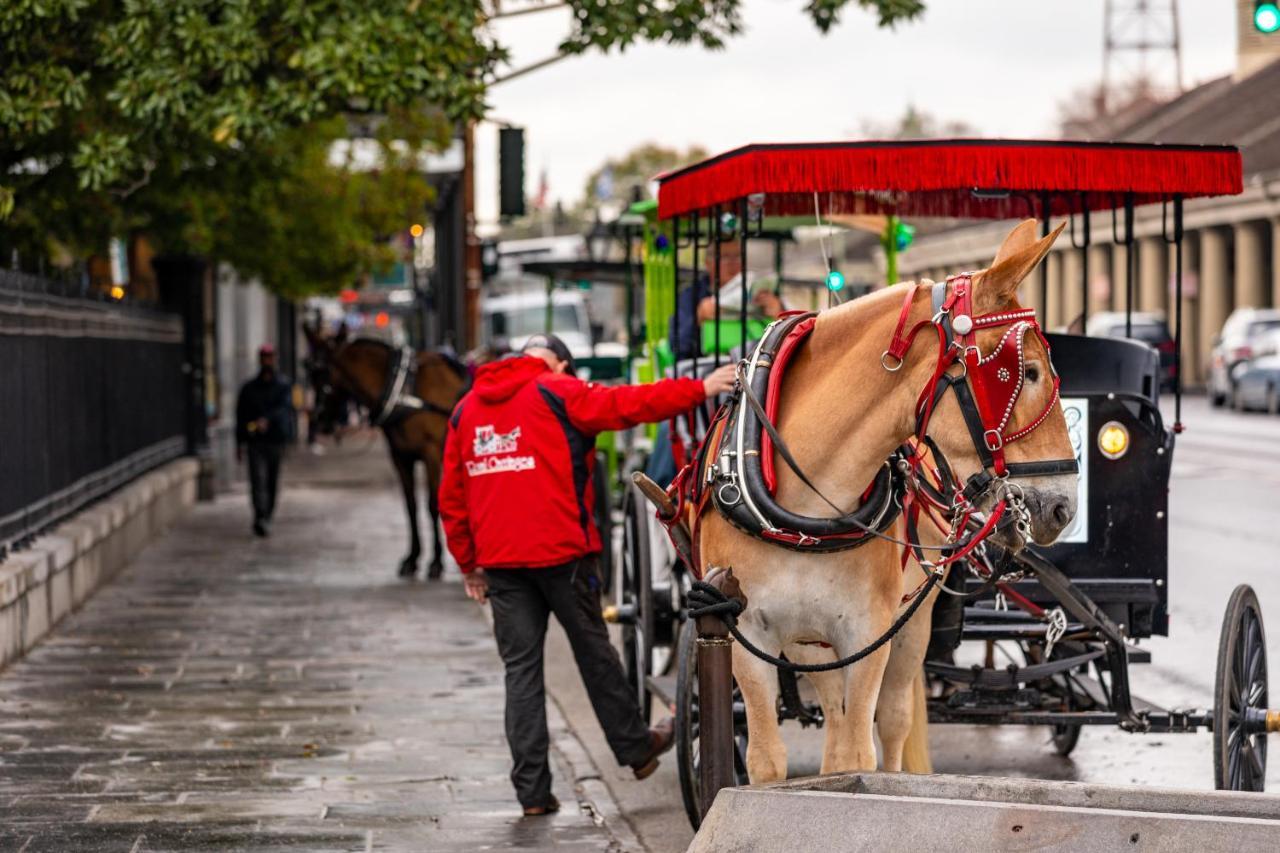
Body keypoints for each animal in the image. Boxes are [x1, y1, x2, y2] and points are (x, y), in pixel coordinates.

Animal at [302, 325, 468, 578]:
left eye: (323, 372)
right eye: (310, 371)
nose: (319, 419)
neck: (406, 389)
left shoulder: (431, 454)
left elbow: (432, 505)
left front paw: (436, 562)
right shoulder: (401, 457)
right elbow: (410, 505)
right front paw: (412, 558)